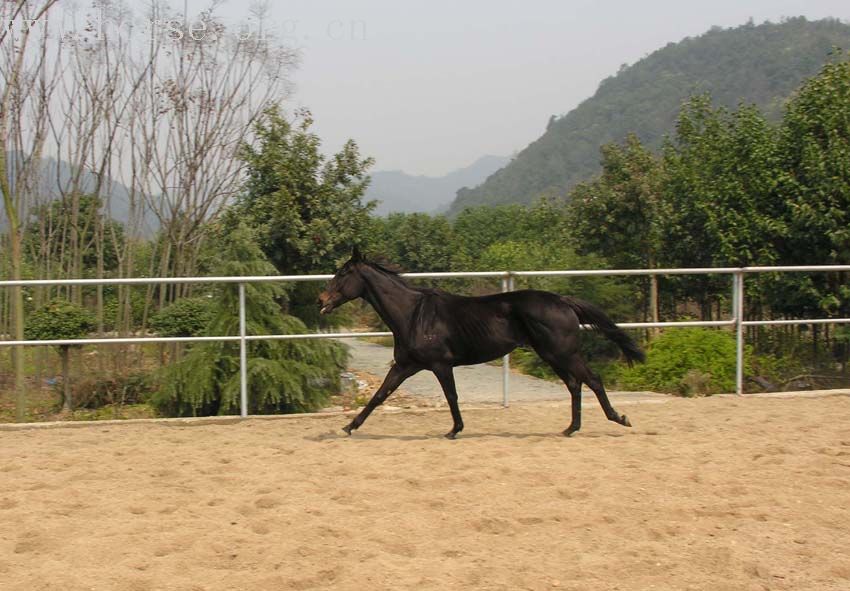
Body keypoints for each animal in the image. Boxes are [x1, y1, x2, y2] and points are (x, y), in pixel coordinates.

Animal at [318, 246, 644, 440]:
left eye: (344, 273)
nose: (321, 300)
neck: (413, 315)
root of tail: (563, 301)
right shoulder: (405, 365)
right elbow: (379, 395)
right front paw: (349, 426)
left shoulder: (440, 364)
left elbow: (451, 396)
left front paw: (454, 430)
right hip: (552, 354)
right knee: (575, 385)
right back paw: (570, 428)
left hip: (563, 352)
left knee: (593, 379)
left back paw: (619, 418)